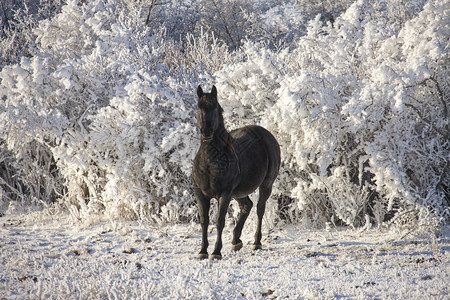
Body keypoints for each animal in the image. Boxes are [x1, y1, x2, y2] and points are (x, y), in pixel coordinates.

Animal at [192, 85, 280, 258]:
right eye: (199, 107)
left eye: (215, 107)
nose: (206, 131)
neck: (210, 161)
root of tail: (267, 135)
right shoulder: (201, 194)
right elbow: (204, 221)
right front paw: (203, 251)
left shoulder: (224, 193)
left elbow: (219, 221)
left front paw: (216, 252)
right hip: (238, 192)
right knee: (247, 205)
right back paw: (236, 241)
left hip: (266, 185)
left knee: (259, 209)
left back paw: (256, 242)